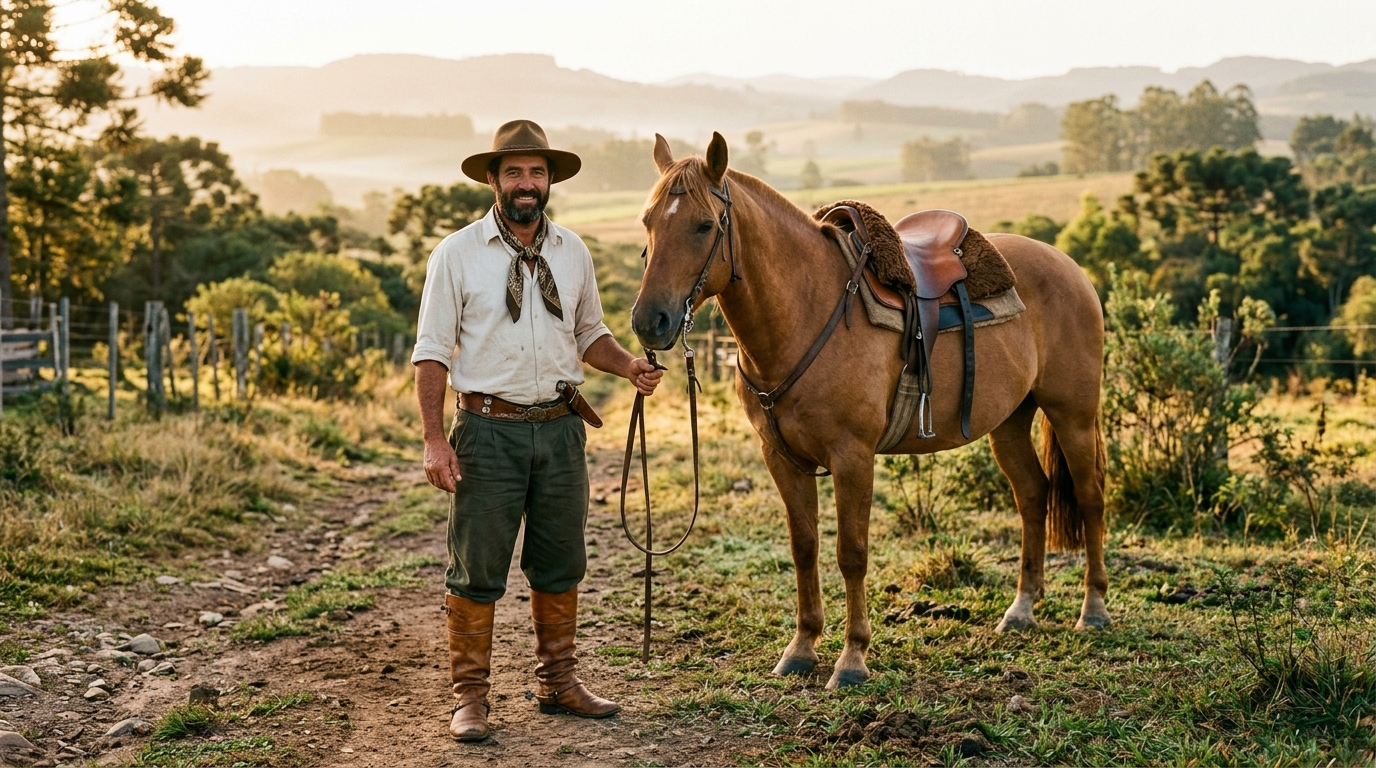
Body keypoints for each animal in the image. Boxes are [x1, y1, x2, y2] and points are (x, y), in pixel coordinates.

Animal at [628, 132, 1108, 690]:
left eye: (704, 225)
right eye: (648, 221)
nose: (650, 321)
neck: (807, 312)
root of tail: (1068, 265)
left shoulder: (853, 457)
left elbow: (851, 554)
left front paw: (852, 658)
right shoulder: (782, 459)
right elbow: (805, 548)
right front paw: (801, 648)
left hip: (1073, 414)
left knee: (1090, 497)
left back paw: (1093, 610)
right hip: (1009, 422)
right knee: (1032, 495)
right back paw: (1021, 610)